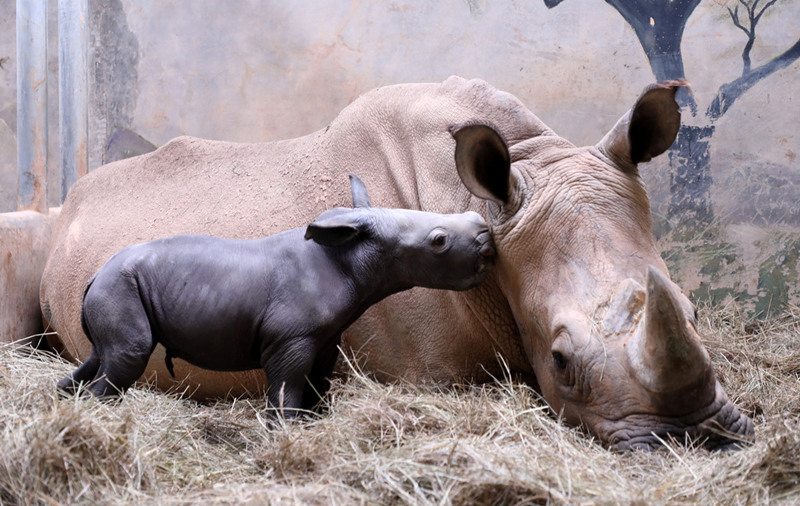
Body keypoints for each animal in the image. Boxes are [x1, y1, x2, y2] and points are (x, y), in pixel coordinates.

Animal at [59, 176, 494, 418]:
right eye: (438, 241)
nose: (486, 235)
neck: (352, 256)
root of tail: (94, 275)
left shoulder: (325, 338)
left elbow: (317, 385)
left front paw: (314, 423)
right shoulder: (290, 339)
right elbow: (288, 387)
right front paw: (284, 428)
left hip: (113, 286)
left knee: (102, 355)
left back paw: (67, 402)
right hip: (119, 286)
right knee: (128, 355)